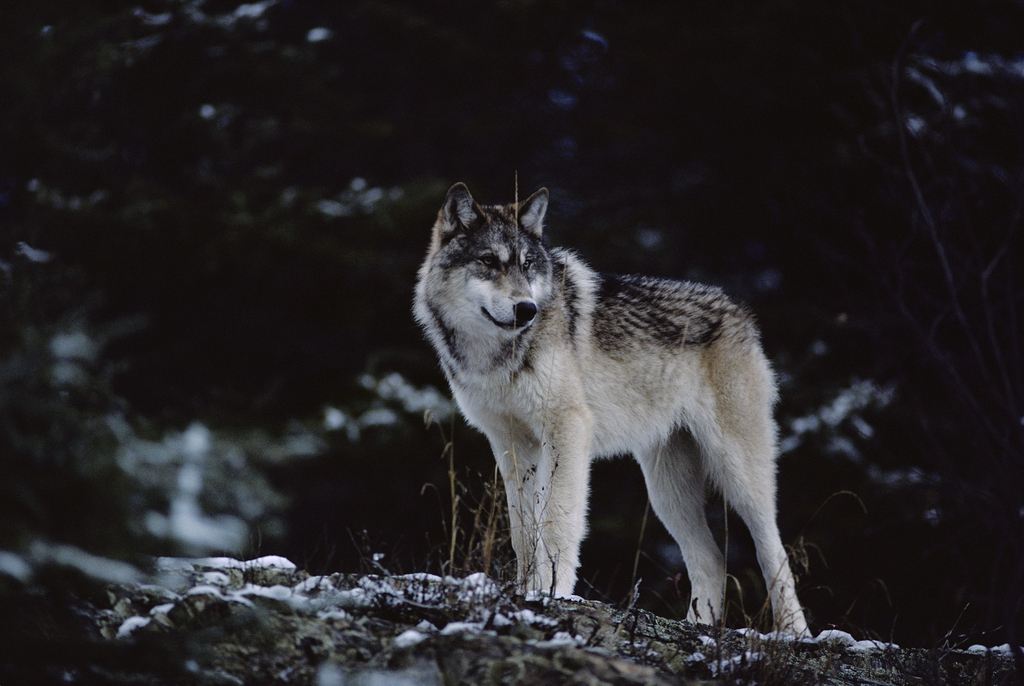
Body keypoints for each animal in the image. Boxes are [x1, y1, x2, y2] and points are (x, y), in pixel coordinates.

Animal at [413, 184, 806, 638]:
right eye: (489, 261)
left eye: (527, 265)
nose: (527, 309)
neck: (495, 354)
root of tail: (738, 309)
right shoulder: (509, 442)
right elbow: (522, 529)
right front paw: (524, 589)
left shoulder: (567, 428)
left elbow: (558, 520)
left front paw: (550, 592)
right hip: (666, 490)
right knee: (712, 559)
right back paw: (695, 628)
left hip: (739, 473)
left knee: (773, 551)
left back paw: (795, 634)